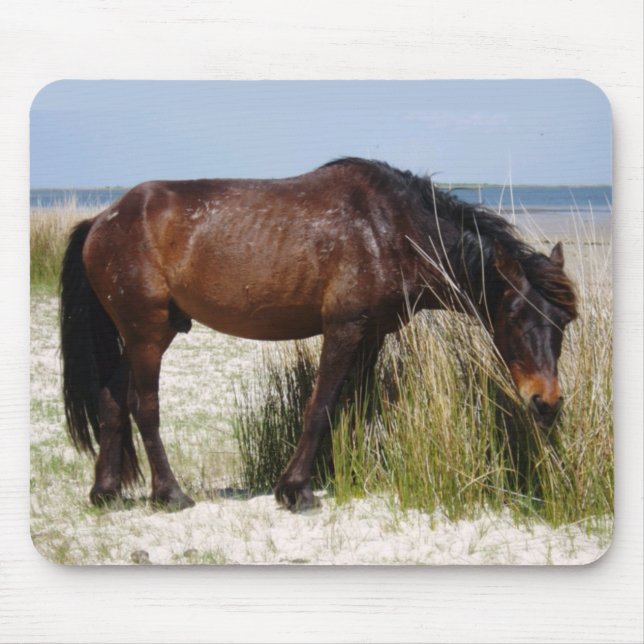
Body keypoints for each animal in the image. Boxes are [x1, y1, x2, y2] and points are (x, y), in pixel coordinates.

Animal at [60, 158, 577, 512]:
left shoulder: (373, 335)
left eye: (564, 324)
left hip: (145, 334)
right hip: (147, 334)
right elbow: (320, 404)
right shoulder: (344, 329)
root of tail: (103, 219)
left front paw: (353, 471)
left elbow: (356, 405)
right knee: (143, 406)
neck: (391, 227)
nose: (546, 403)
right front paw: (295, 489)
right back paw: (169, 493)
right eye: (515, 318)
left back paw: (105, 490)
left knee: (111, 400)